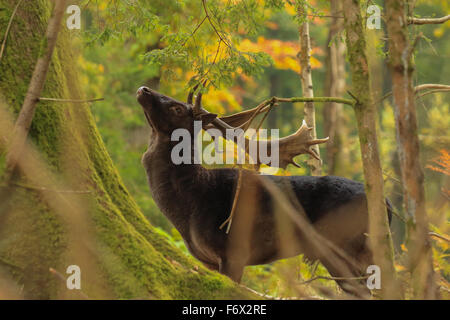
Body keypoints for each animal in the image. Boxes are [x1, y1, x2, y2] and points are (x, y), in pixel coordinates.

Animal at [136, 86, 390, 296]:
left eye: (177, 108)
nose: (144, 89)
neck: (189, 208)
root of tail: (386, 204)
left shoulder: (233, 251)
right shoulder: (208, 260)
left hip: (347, 246)